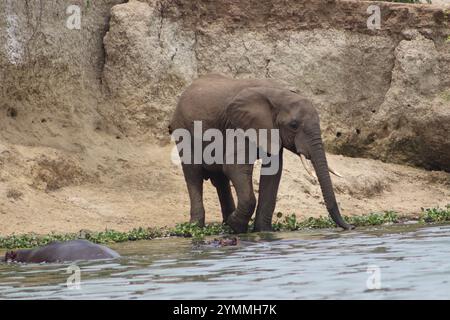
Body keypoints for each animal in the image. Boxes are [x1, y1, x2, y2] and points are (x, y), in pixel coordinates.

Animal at [171, 74, 354, 234]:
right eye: (294, 125)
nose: (351, 227)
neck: (279, 94)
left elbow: (273, 173)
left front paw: (262, 231)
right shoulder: (238, 126)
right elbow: (235, 168)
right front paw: (237, 226)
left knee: (220, 181)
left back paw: (225, 226)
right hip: (183, 131)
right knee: (193, 175)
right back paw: (195, 228)